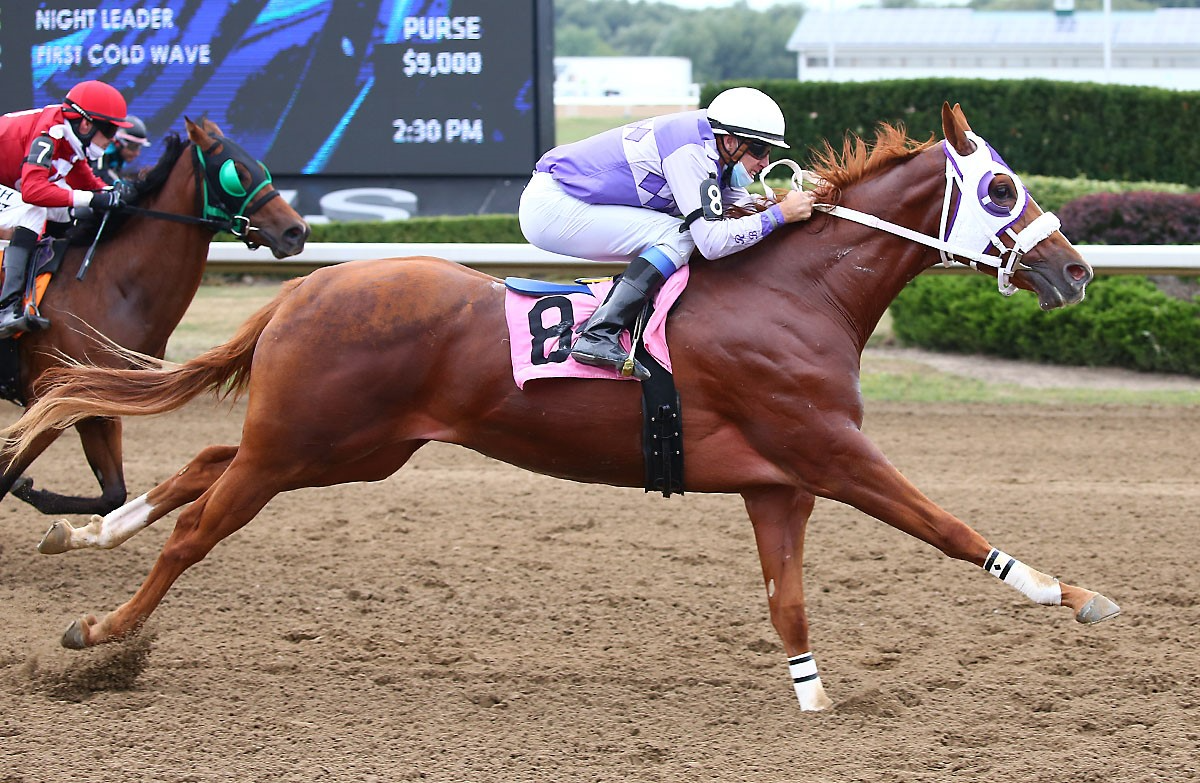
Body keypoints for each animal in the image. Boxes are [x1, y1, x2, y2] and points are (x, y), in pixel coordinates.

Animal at [0, 117, 309, 516]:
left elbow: (113, 494)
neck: (112, 285)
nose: (296, 231)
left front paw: (32, 491)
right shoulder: (45, 397)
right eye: (236, 173)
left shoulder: (96, 403)